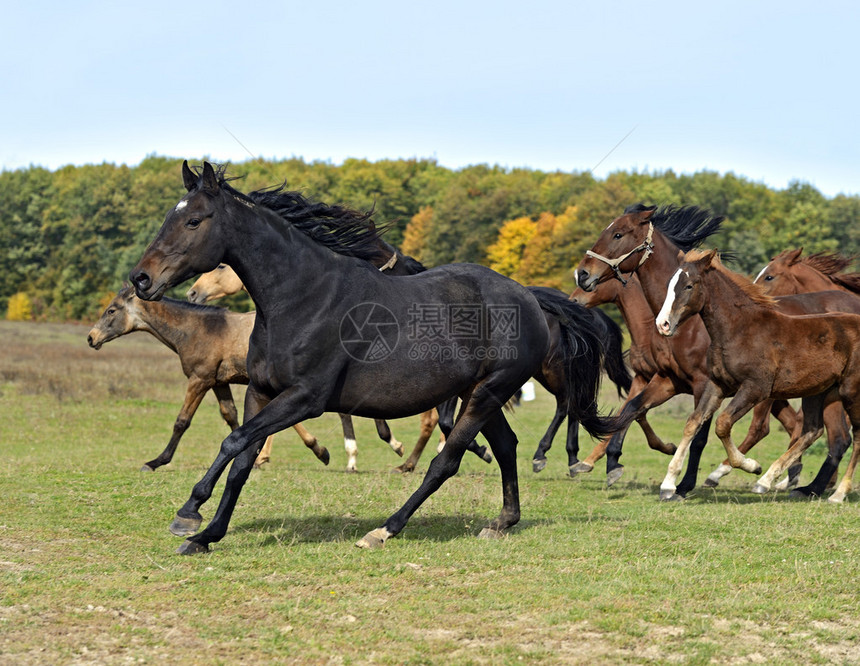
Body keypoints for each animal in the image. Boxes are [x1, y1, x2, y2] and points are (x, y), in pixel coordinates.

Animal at [88, 288, 326, 470]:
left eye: (111, 310)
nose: (91, 338)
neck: (200, 330)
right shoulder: (219, 383)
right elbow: (231, 416)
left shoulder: (199, 380)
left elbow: (182, 421)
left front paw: (156, 462)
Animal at [127, 162, 620, 556]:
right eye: (170, 217)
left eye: (194, 220)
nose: (141, 279)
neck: (302, 297)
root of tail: (529, 298)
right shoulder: (262, 393)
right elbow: (242, 459)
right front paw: (205, 534)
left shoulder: (305, 398)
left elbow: (233, 443)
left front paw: (188, 512)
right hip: (479, 394)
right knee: (505, 446)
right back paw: (502, 522)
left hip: (487, 393)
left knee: (447, 461)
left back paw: (385, 529)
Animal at [652, 252, 860, 500]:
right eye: (670, 284)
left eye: (689, 285)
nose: (663, 324)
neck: (740, 329)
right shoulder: (717, 384)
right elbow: (693, 422)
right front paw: (668, 485)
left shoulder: (755, 388)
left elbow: (722, 424)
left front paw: (750, 465)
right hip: (816, 392)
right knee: (813, 430)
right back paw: (769, 482)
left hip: (850, 392)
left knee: (854, 436)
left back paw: (837, 493)